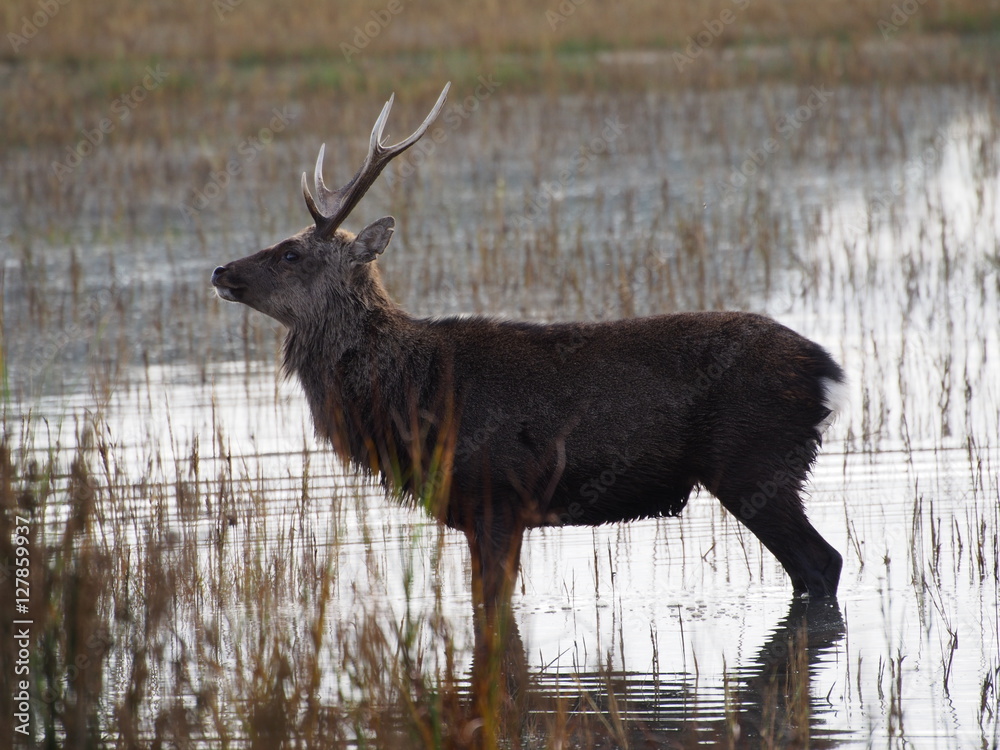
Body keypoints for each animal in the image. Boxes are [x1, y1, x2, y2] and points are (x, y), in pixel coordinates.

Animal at [211, 82, 845, 676]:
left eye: (291, 254)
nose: (220, 270)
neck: (408, 396)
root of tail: (826, 371)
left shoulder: (498, 493)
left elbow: (491, 612)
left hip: (753, 461)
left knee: (823, 563)